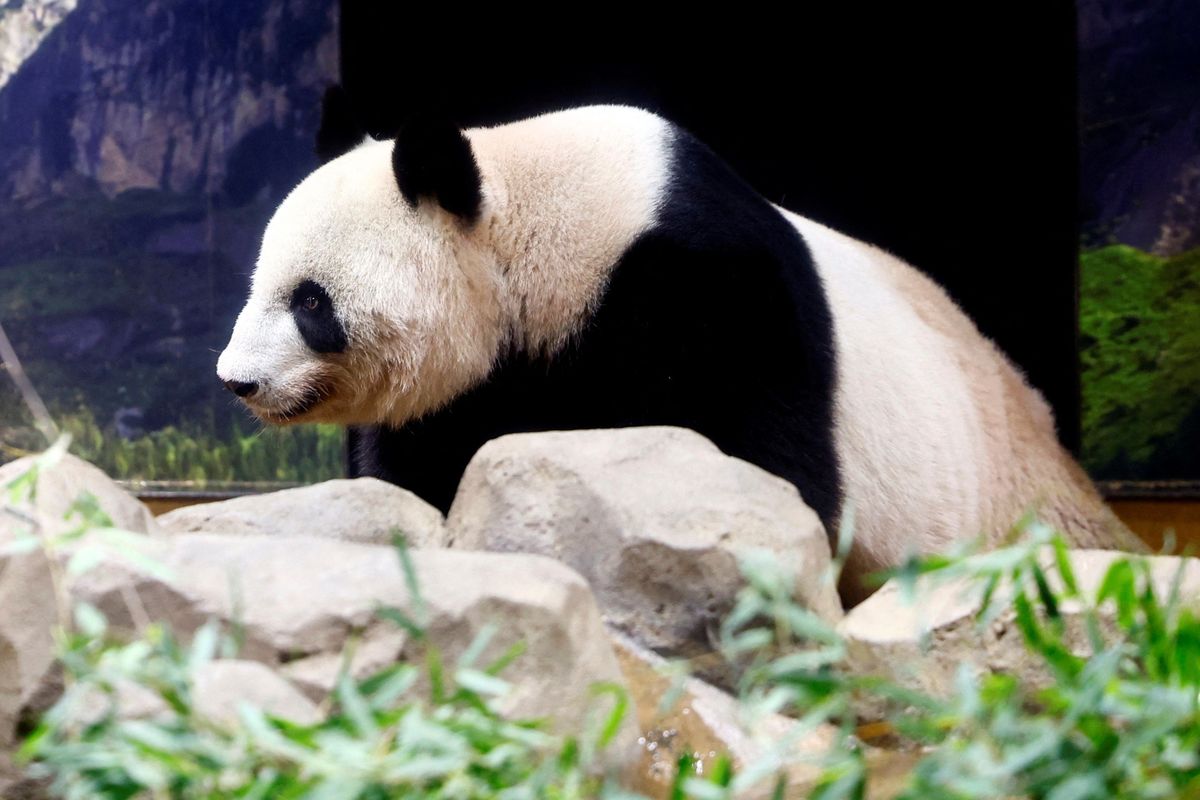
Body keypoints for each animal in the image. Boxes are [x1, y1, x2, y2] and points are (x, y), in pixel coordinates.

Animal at [216, 96, 1143, 603]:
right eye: (258, 284)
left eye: (310, 302)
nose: (238, 382)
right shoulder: (481, 377)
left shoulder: (713, 289)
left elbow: (767, 465)